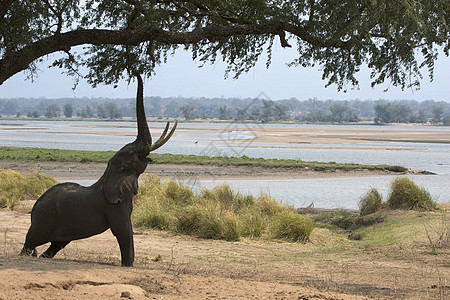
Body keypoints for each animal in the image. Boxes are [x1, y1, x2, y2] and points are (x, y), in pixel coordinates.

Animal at [20, 75, 178, 268]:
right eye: (132, 153)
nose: (135, 72)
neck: (109, 173)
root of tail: (34, 208)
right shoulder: (113, 204)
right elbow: (123, 230)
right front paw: (127, 265)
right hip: (44, 219)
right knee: (31, 241)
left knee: (56, 245)